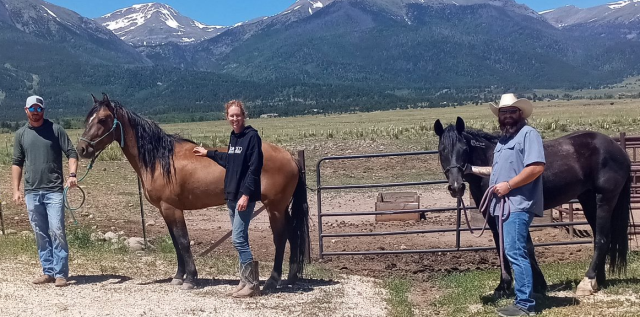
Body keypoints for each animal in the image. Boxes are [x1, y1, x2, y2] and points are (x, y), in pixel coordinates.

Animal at [75, 92, 310, 290]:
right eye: (88, 119)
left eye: (102, 119)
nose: (82, 149)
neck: (160, 159)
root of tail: (290, 156)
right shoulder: (165, 210)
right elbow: (176, 243)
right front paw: (178, 277)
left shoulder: (172, 208)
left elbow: (183, 242)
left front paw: (190, 279)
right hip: (281, 207)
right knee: (293, 235)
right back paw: (291, 277)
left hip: (274, 207)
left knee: (281, 237)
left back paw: (273, 280)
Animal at [432, 116, 632, 296]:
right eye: (442, 150)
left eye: (465, 149)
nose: (456, 187)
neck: (491, 163)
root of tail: (618, 149)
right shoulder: (492, 216)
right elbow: (502, 245)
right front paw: (505, 287)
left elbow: (524, 246)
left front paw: (534, 284)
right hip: (588, 200)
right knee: (601, 237)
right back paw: (598, 280)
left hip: (604, 200)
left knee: (602, 239)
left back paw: (587, 282)